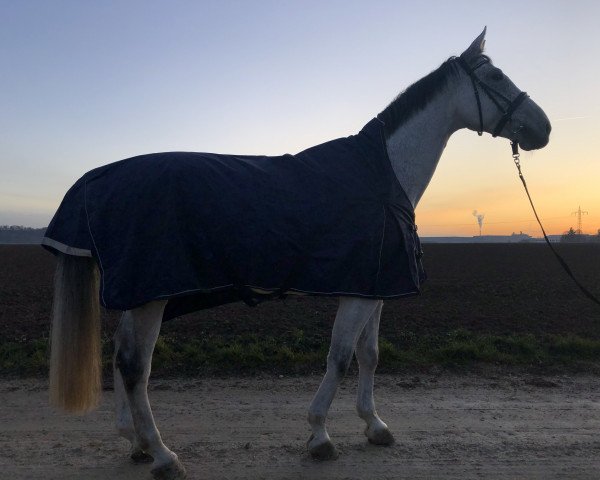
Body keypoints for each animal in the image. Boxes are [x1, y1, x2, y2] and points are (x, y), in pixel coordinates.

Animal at [44, 28, 552, 478]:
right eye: (497, 76)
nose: (543, 128)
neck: (382, 175)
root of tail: (95, 179)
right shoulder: (358, 294)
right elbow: (340, 357)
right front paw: (320, 435)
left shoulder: (376, 290)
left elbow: (370, 355)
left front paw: (374, 425)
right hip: (151, 297)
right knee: (135, 366)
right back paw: (163, 455)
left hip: (143, 297)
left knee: (119, 355)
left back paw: (135, 443)